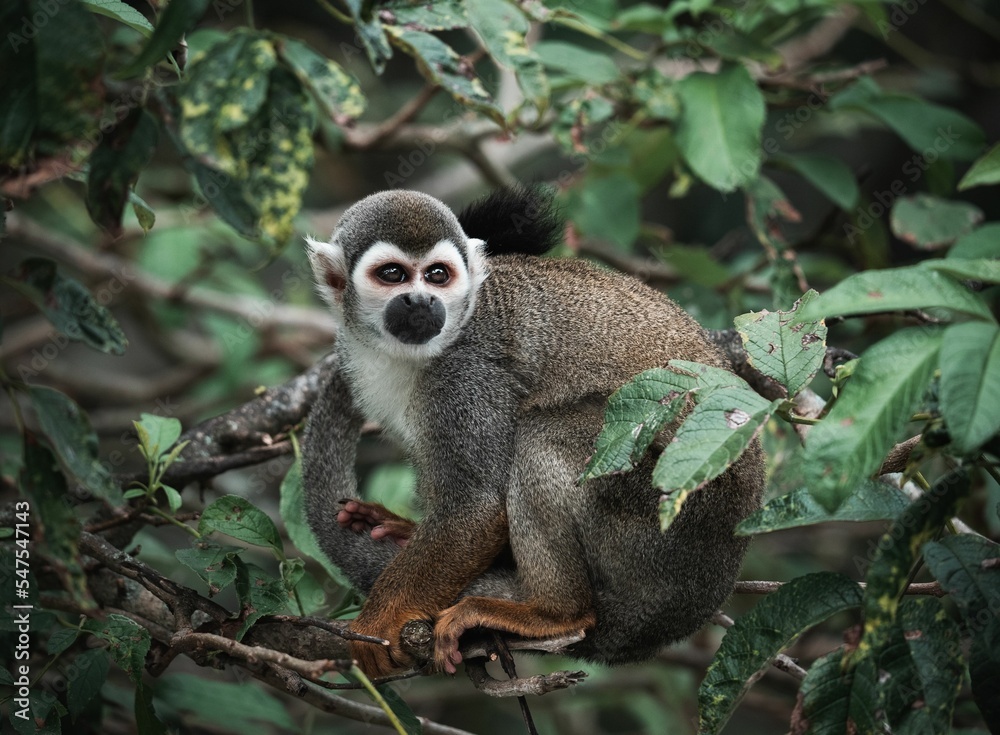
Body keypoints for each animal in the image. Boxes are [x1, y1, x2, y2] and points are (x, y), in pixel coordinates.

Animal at [300, 188, 760, 680]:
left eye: (437, 275)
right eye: (393, 275)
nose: (420, 302)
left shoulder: (469, 373)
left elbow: (476, 508)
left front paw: (379, 619)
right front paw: (405, 532)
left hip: (668, 524)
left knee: (543, 436)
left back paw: (555, 613)